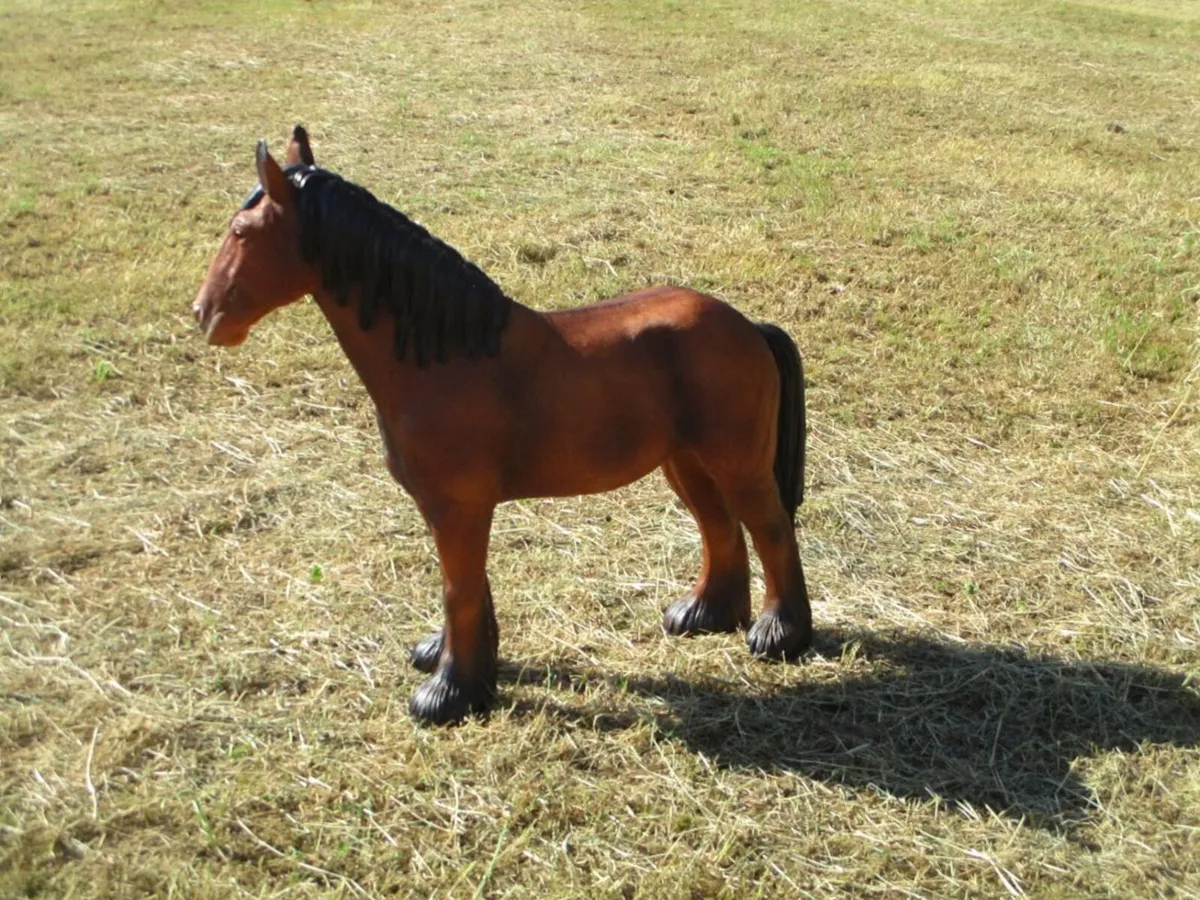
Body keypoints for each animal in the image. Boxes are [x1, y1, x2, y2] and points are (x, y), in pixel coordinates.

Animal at [192, 126, 812, 725]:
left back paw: (780, 636)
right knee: (719, 527)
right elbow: (471, 589)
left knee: (770, 528)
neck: (442, 356)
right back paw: (706, 614)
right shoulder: (449, 508)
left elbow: (458, 589)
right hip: (685, 461)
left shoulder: (458, 506)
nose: (204, 315)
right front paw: (459, 666)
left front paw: (447, 695)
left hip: (736, 461)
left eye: (241, 232)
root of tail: (749, 328)